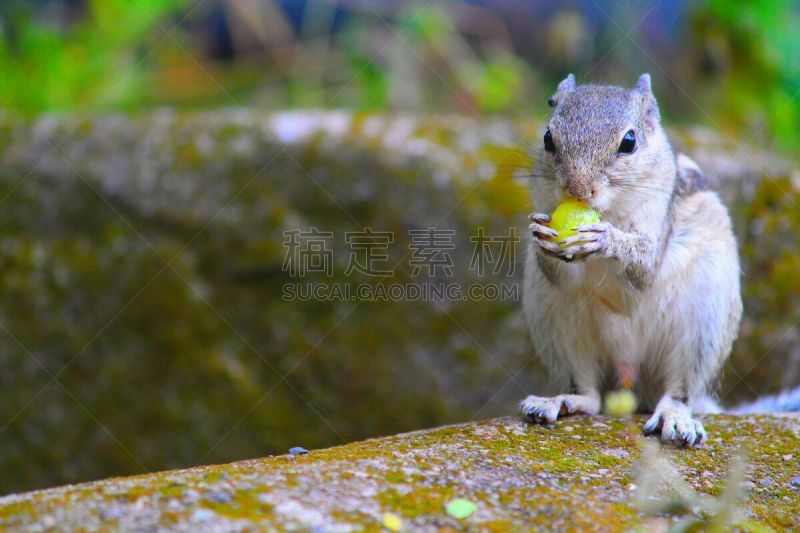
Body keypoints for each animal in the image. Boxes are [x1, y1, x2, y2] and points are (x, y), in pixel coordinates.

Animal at [516, 72, 796, 446]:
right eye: (548, 138)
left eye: (629, 142)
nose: (577, 189)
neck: (609, 210)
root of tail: (633, 382)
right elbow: (556, 271)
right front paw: (542, 237)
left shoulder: (658, 217)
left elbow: (644, 266)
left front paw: (607, 239)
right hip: (558, 327)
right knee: (590, 395)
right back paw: (561, 401)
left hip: (701, 328)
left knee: (678, 391)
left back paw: (674, 418)